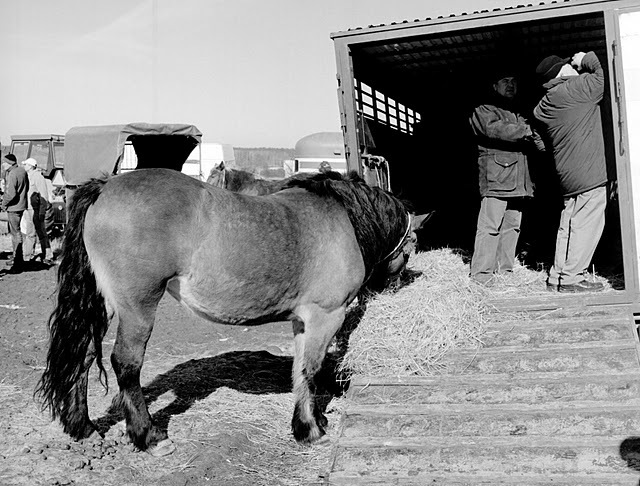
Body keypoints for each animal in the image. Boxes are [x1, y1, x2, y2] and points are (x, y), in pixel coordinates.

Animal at [33, 168, 424, 456]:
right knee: (126, 365)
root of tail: (105, 186)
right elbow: (310, 371)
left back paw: (83, 427)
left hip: (103, 303)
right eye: (411, 246)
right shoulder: (325, 316)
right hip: (138, 306)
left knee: (83, 355)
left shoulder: (303, 322)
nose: (396, 284)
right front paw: (310, 430)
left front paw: (311, 422)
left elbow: (299, 372)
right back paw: (148, 436)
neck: (341, 217)